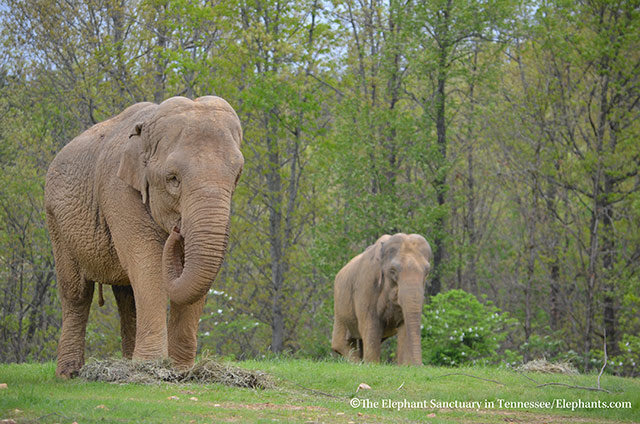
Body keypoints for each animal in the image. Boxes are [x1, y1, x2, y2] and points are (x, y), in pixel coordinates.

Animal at [45, 96, 244, 378]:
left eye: (237, 176)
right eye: (173, 179)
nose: (177, 230)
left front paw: (179, 371)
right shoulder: (117, 190)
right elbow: (148, 264)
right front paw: (153, 366)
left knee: (127, 297)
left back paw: (130, 365)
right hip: (56, 222)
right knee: (76, 293)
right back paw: (70, 374)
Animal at [332, 234, 432, 366]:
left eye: (427, 271)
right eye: (393, 270)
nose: (420, 365)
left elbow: (405, 327)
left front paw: (405, 365)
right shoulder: (366, 286)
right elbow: (371, 326)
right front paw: (372, 365)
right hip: (339, 306)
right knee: (342, 343)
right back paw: (358, 363)